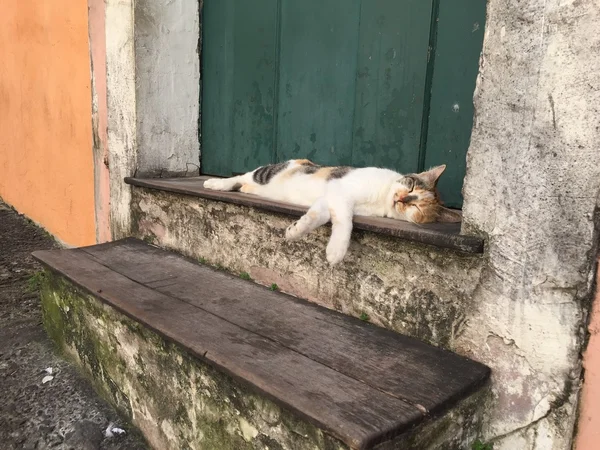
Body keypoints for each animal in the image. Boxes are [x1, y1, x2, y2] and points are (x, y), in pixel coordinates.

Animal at [204, 158, 462, 264]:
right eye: (411, 187)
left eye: (417, 205)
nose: (402, 198)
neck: (382, 199)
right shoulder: (341, 191)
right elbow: (346, 222)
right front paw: (336, 252)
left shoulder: (330, 199)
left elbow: (320, 216)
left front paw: (296, 230)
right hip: (267, 172)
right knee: (241, 176)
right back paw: (215, 184)